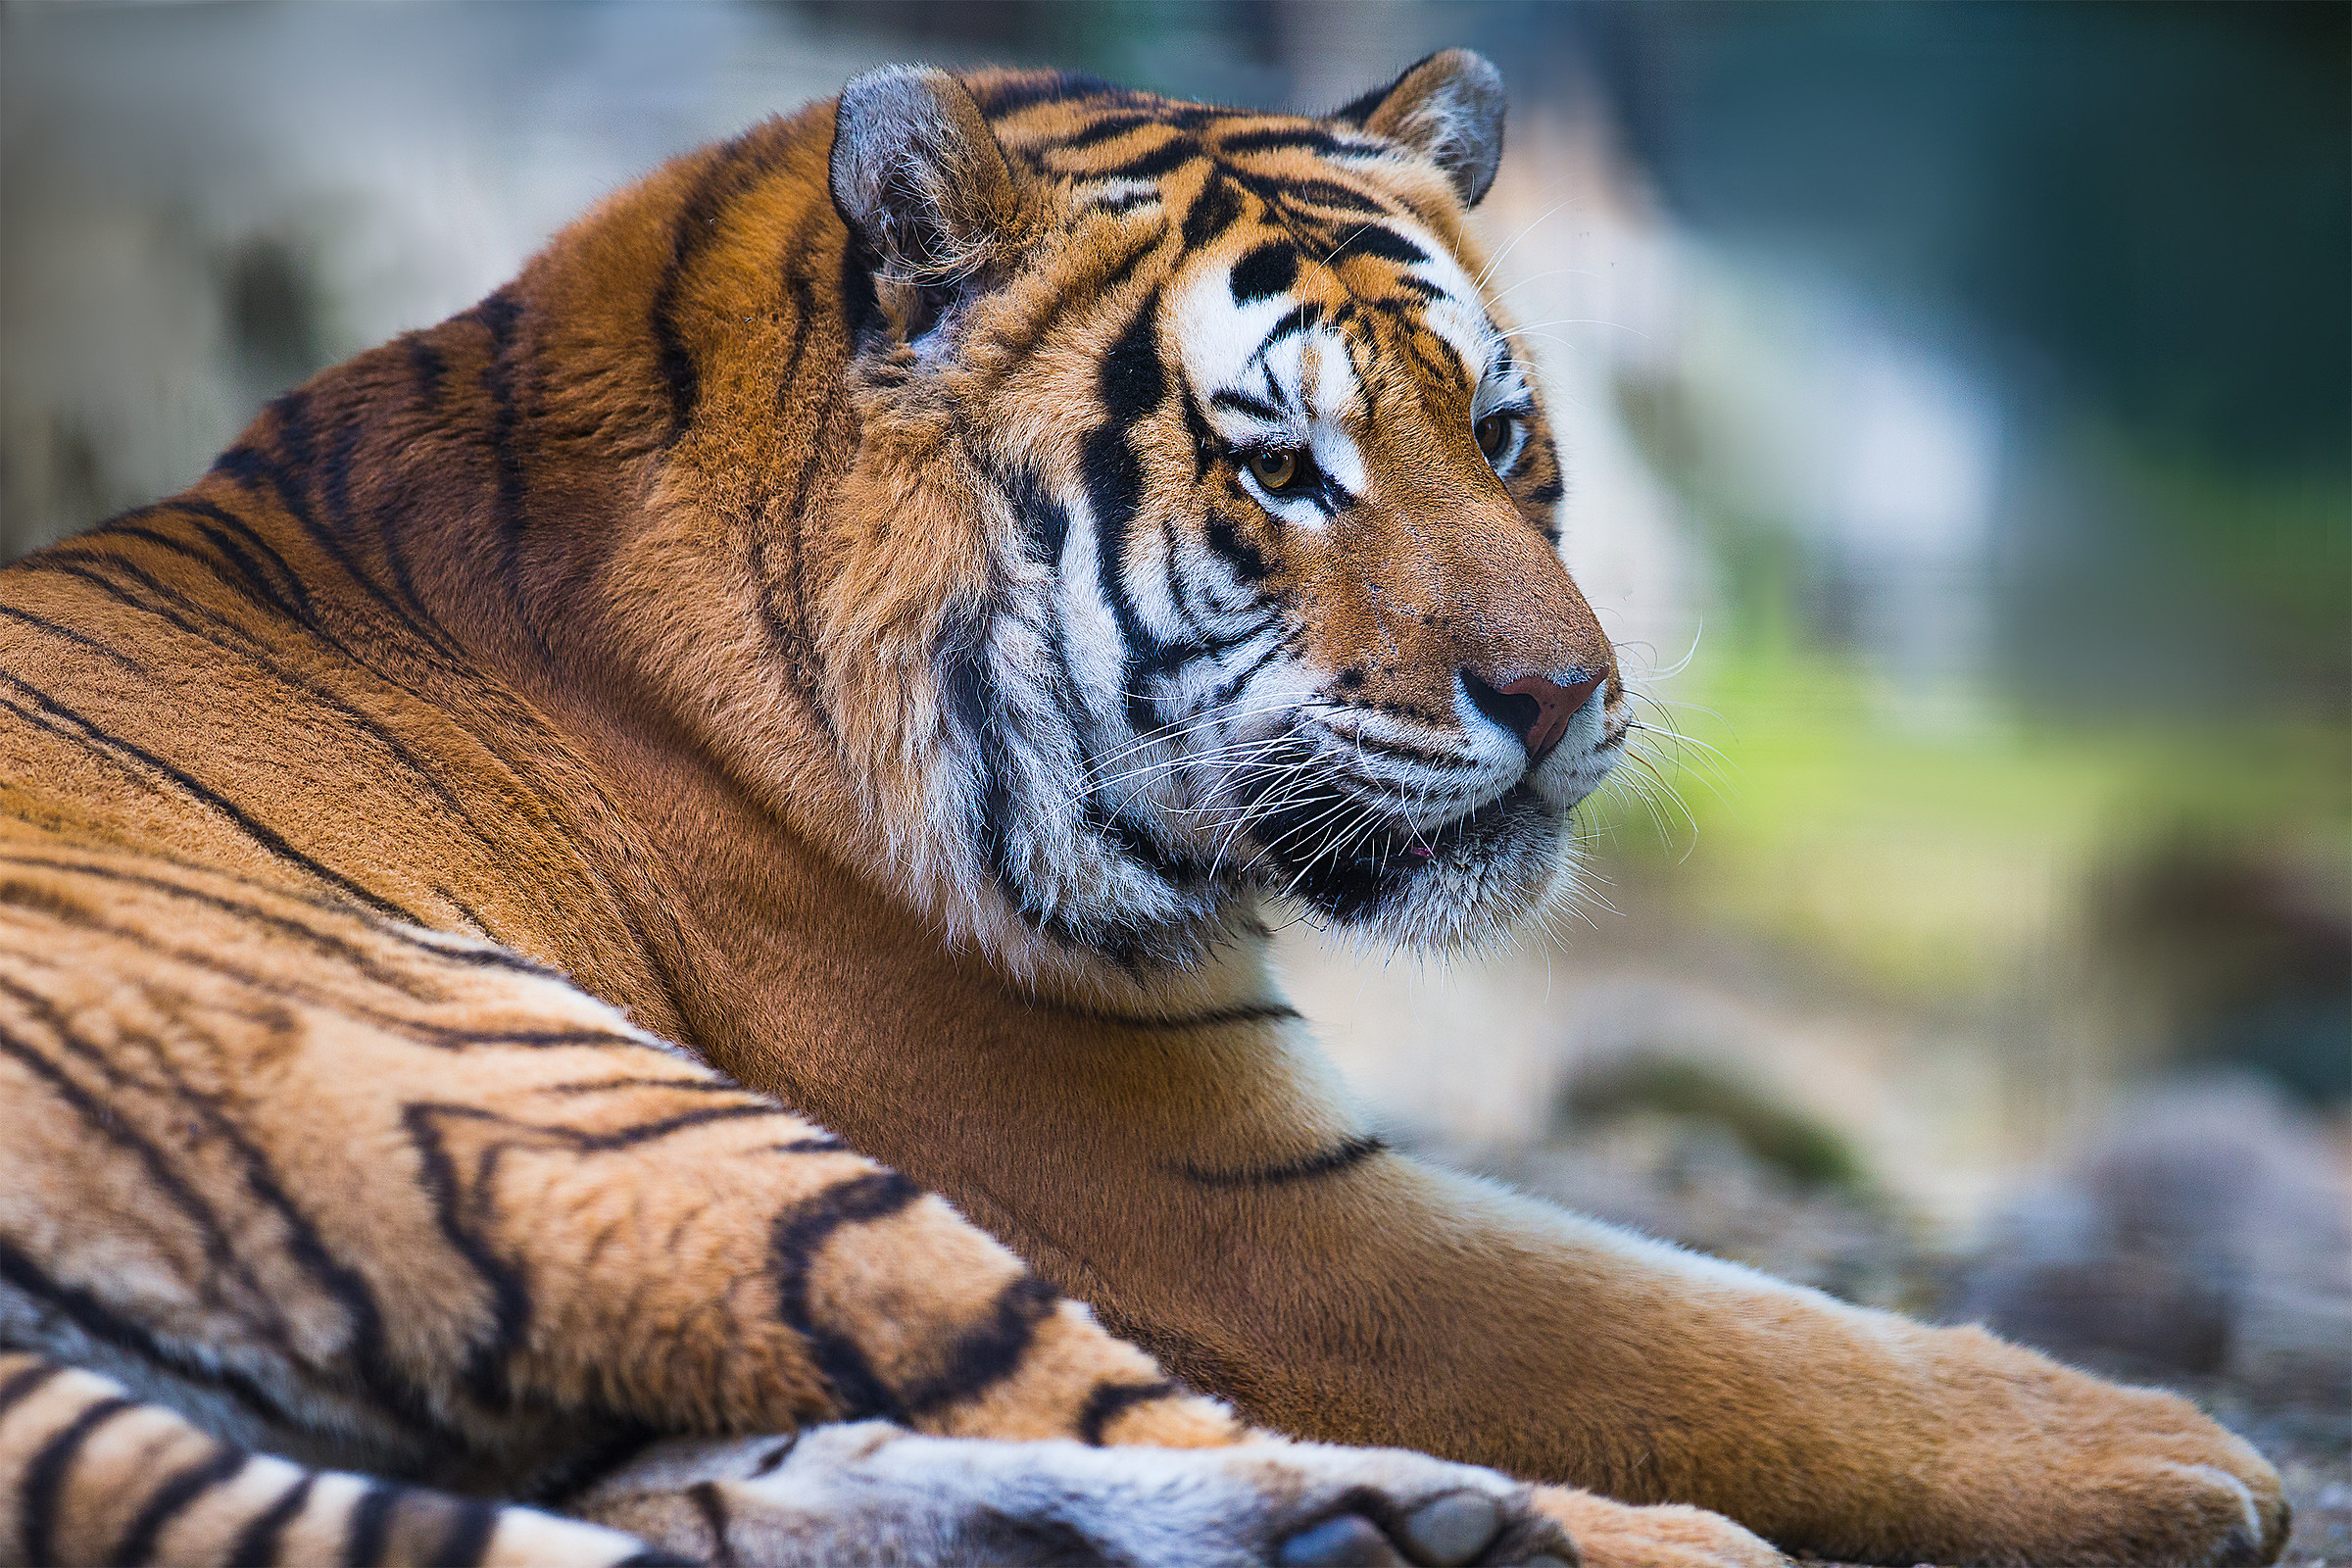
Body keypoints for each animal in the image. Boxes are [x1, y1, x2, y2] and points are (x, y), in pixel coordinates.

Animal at [0, 48, 2290, 1568]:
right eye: (1283, 468)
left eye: (1504, 433)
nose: (1570, 700)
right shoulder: (1226, 1201)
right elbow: (1707, 1325)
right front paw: (2185, 1460)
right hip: (564, 1088)